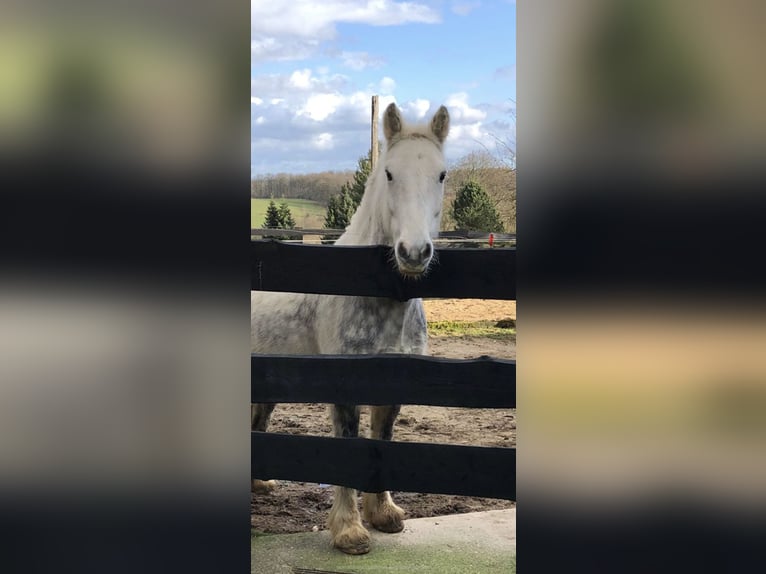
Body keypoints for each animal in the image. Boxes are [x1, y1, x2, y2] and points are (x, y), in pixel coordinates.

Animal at [254, 104, 450, 560]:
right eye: (390, 173)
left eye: (441, 174)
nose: (414, 253)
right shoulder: (345, 386)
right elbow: (348, 447)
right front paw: (349, 532)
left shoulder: (394, 383)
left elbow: (382, 440)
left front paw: (384, 514)